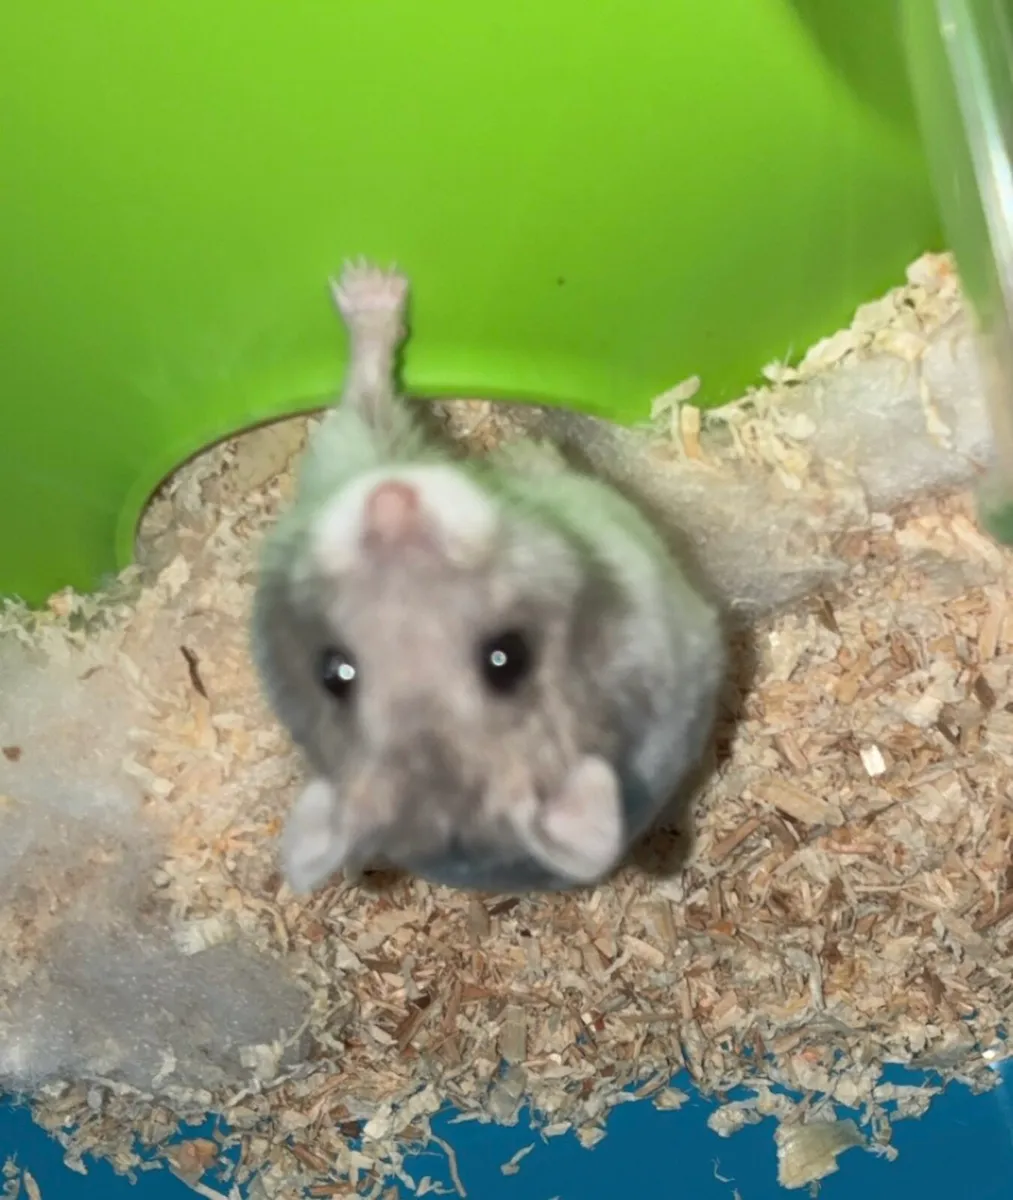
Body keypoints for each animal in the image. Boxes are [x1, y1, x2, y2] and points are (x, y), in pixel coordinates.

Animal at [251, 260, 726, 895]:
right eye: (334, 672)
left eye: (506, 658)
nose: (390, 498)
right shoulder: (353, 456)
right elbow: (367, 399)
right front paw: (369, 280)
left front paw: (366, 278)